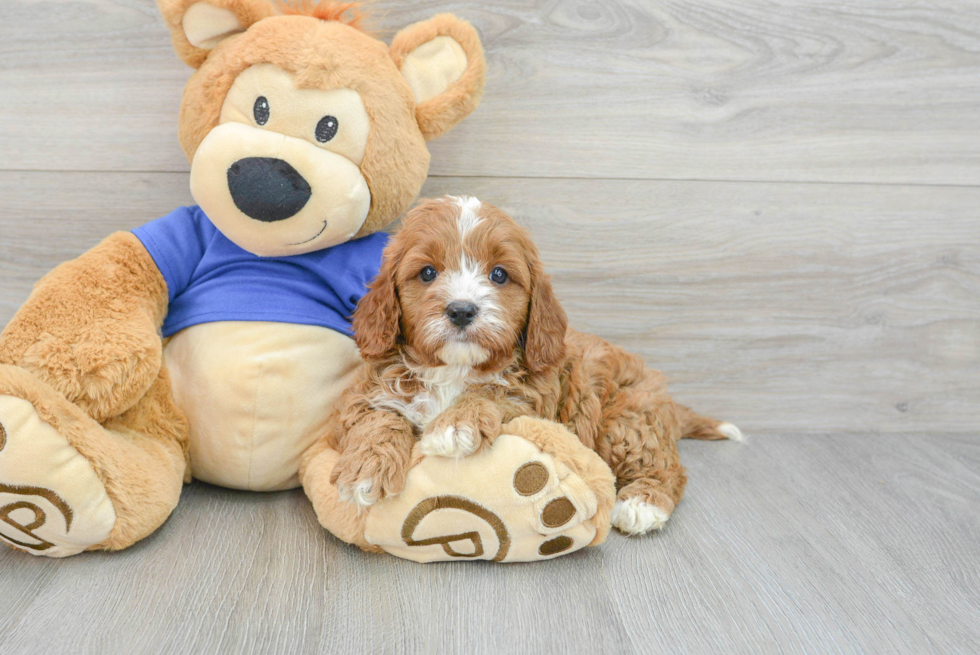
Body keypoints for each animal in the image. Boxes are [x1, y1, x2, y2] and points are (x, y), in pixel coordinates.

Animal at [326, 195, 740, 532]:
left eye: (499, 274)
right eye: (427, 272)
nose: (461, 310)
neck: (455, 369)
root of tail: (664, 396)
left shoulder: (533, 399)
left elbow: (493, 393)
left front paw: (456, 424)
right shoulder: (367, 392)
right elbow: (378, 419)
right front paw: (365, 470)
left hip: (627, 420)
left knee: (665, 466)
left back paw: (642, 504)